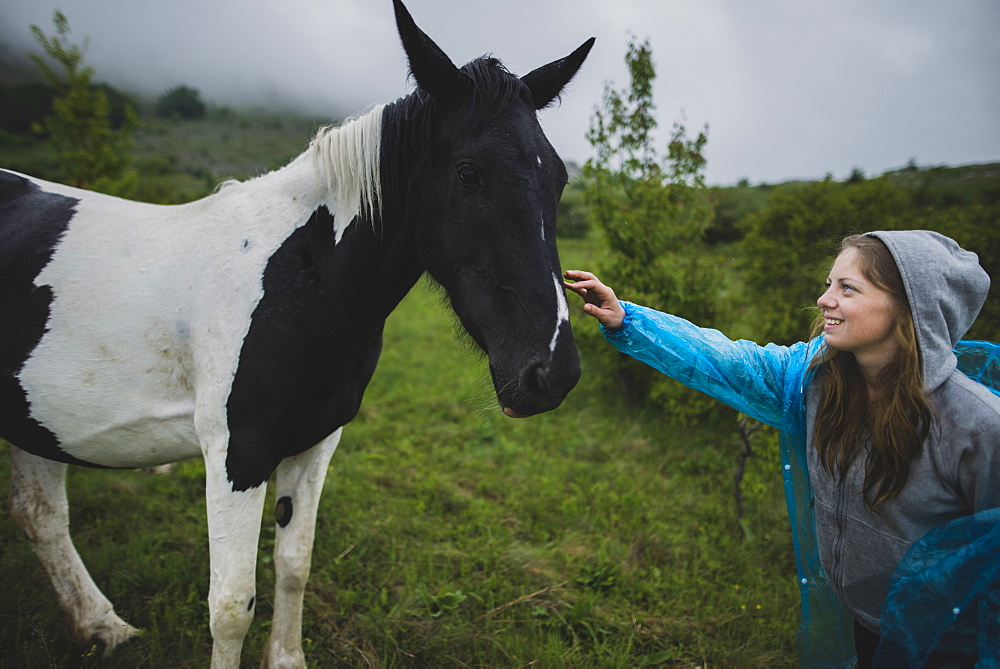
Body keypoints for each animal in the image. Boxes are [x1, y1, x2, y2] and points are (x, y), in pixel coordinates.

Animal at [0, 2, 588, 664]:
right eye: (469, 175)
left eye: (559, 179)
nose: (552, 372)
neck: (299, 281)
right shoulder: (238, 454)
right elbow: (231, 606)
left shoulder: (314, 443)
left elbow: (293, 564)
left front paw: (287, 656)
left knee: (40, 515)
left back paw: (100, 625)